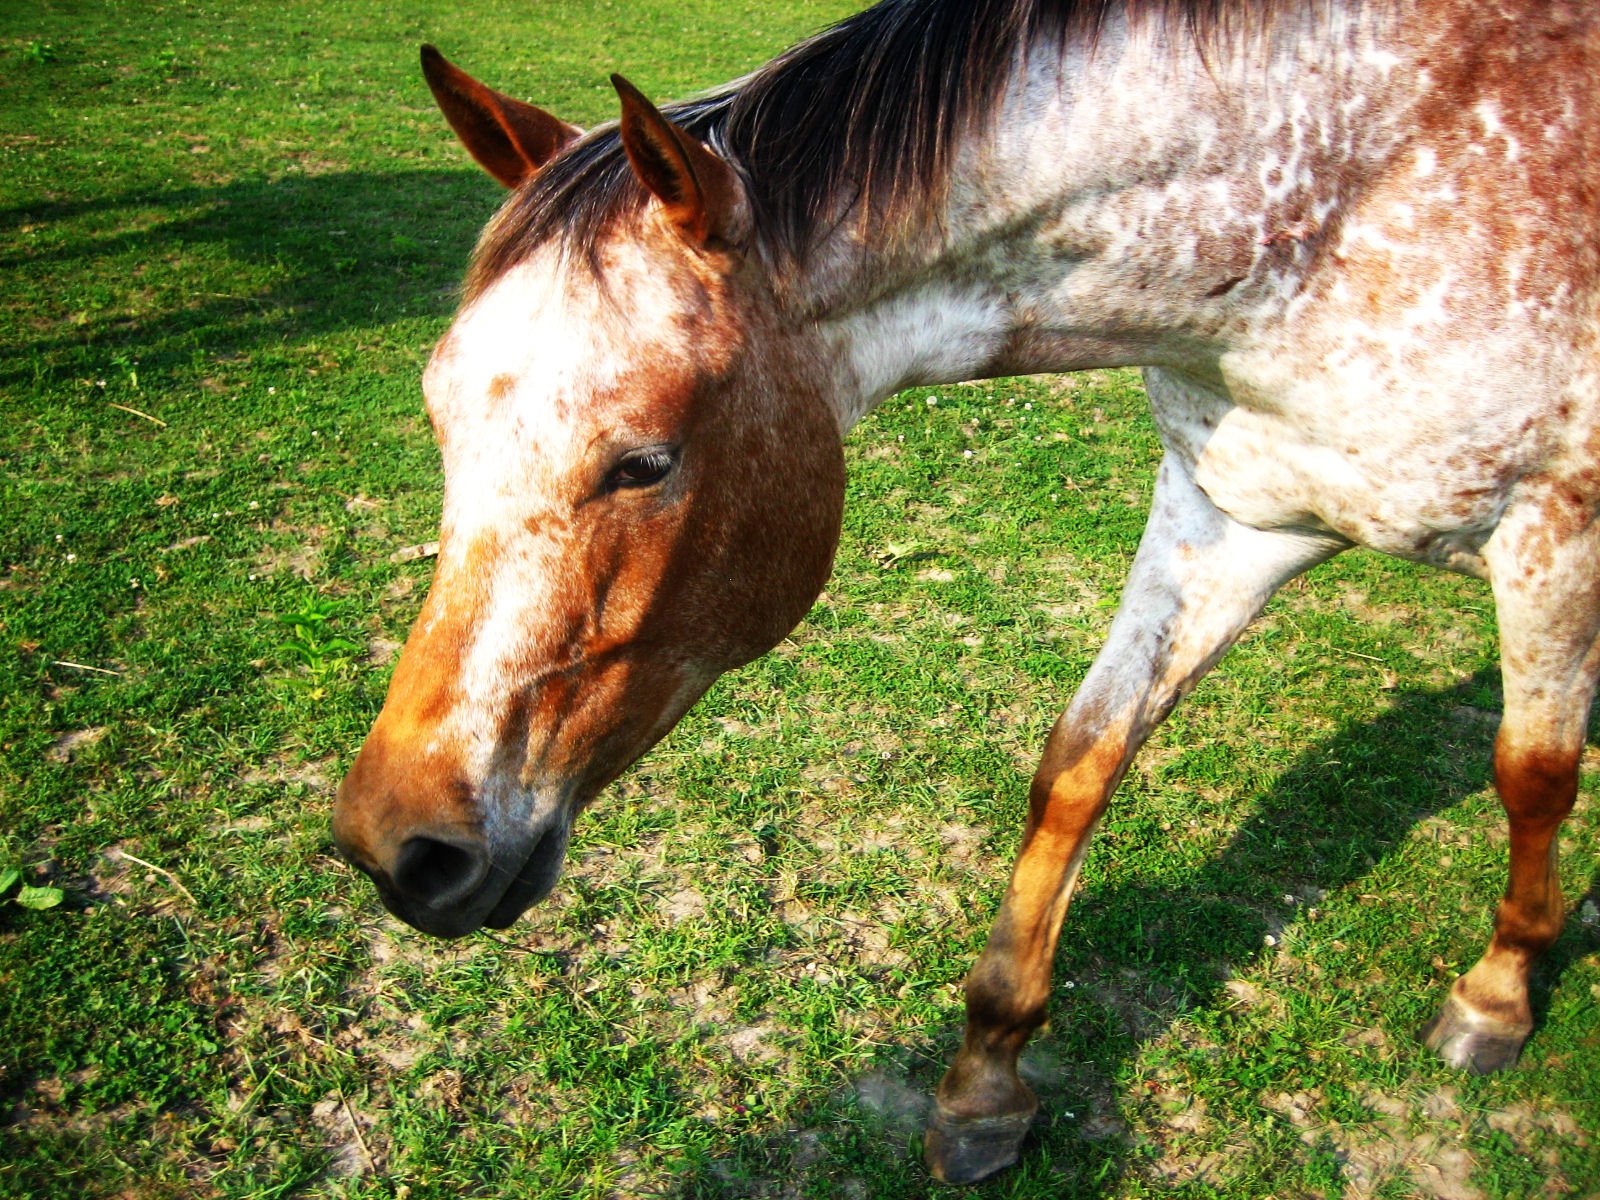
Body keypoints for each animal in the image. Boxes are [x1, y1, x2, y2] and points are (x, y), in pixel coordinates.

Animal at [328, 0, 1600, 1184]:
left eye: (643, 462)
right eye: (440, 418)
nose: (400, 845)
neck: (1343, 202)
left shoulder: (1556, 535)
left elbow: (1531, 774)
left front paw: (1498, 995)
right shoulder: (1226, 517)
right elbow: (1079, 766)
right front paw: (987, 1082)